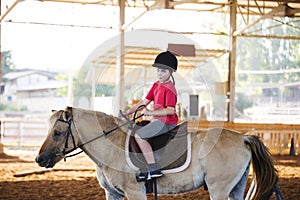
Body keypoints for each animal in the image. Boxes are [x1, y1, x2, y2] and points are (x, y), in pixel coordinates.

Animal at [35, 106, 278, 198]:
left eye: (57, 132)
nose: (40, 159)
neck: (111, 146)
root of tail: (243, 137)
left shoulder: (135, 192)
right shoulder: (112, 194)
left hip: (218, 189)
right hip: (235, 188)